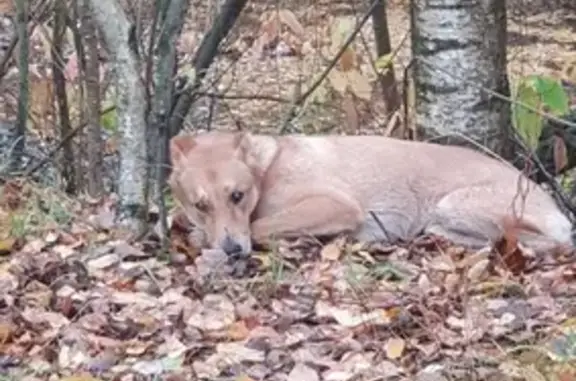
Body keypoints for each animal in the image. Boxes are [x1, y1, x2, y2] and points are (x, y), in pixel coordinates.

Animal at [165, 129, 572, 256]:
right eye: (201, 205)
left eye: (238, 196)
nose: (232, 252)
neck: (267, 172)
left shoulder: (336, 205)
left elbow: (260, 226)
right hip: (442, 219)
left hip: (453, 204)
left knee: (550, 242)